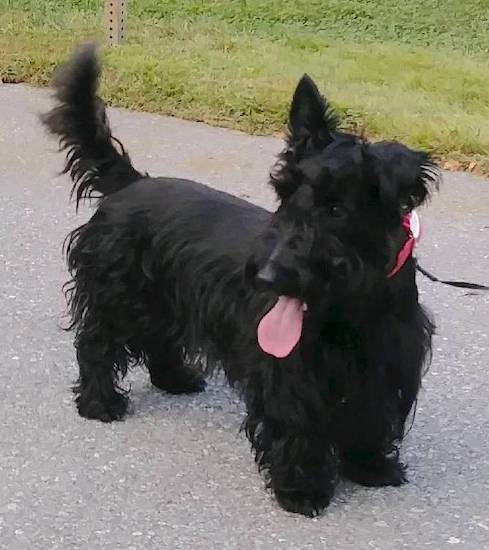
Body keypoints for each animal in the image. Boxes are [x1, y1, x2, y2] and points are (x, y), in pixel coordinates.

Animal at [43, 44, 436, 516]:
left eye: (335, 208)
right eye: (284, 192)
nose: (265, 276)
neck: (351, 310)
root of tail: (130, 183)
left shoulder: (387, 363)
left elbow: (372, 415)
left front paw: (371, 465)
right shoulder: (288, 370)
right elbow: (294, 422)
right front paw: (301, 489)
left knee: (159, 339)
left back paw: (176, 378)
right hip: (117, 296)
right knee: (97, 346)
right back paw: (100, 402)